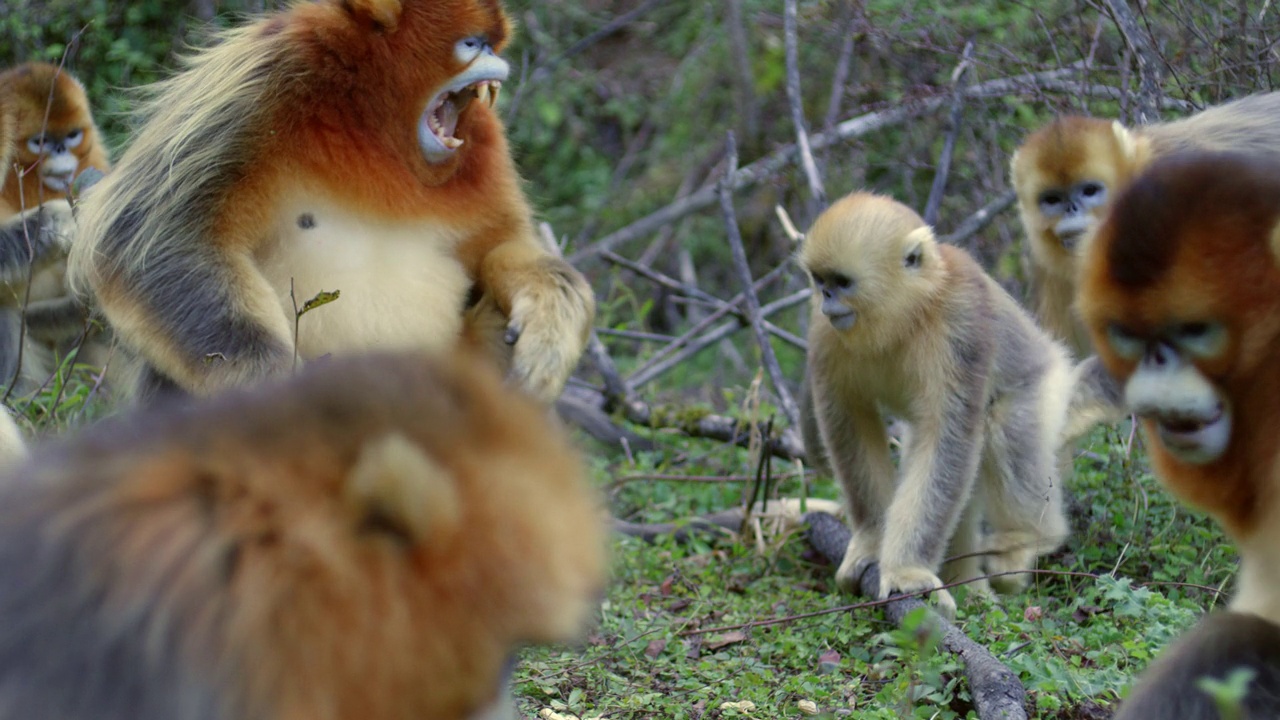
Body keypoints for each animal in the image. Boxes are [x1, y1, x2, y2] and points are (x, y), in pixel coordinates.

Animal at [73, 0, 599, 404]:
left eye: (493, 43)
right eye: (472, 44)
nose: (497, 59)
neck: (374, 123)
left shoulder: (483, 142)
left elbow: (499, 245)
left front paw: (553, 318)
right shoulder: (261, 81)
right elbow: (156, 240)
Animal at [798, 192, 1121, 617]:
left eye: (842, 282)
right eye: (820, 281)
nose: (826, 299)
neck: (907, 317)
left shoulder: (960, 321)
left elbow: (947, 437)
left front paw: (907, 573)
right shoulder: (824, 333)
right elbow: (851, 424)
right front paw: (871, 543)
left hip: (1045, 386)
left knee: (1001, 424)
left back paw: (1026, 539)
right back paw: (968, 585)